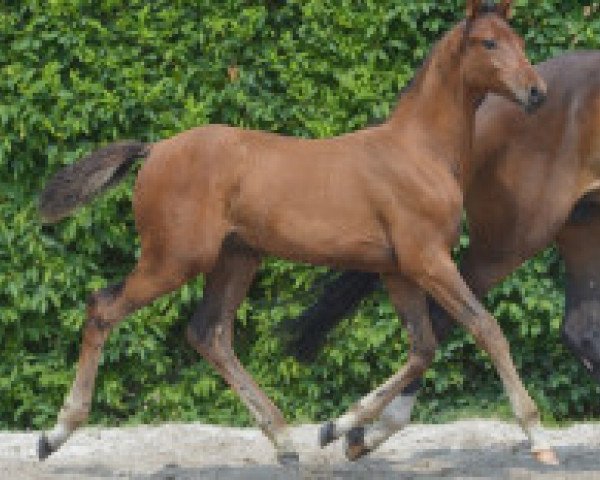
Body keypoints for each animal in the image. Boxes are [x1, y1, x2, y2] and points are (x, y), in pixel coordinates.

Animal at [37, 0, 552, 464]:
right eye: (489, 42)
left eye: (520, 41)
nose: (537, 92)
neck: (419, 150)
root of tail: (156, 148)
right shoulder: (428, 260)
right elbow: (486, 328)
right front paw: (537, 434)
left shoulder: (398, 269)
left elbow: (422, 348)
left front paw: (337, 427)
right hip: (174, 261)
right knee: (103, 309)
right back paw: (55, 434)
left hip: (237, 258)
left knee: (210, 334)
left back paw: (285, 441)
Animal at [282, 49, 600, 462]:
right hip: (515, 237)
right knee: (452, 322)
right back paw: (361, 430)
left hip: (581, 224)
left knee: (576, 330)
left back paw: (357, 431)